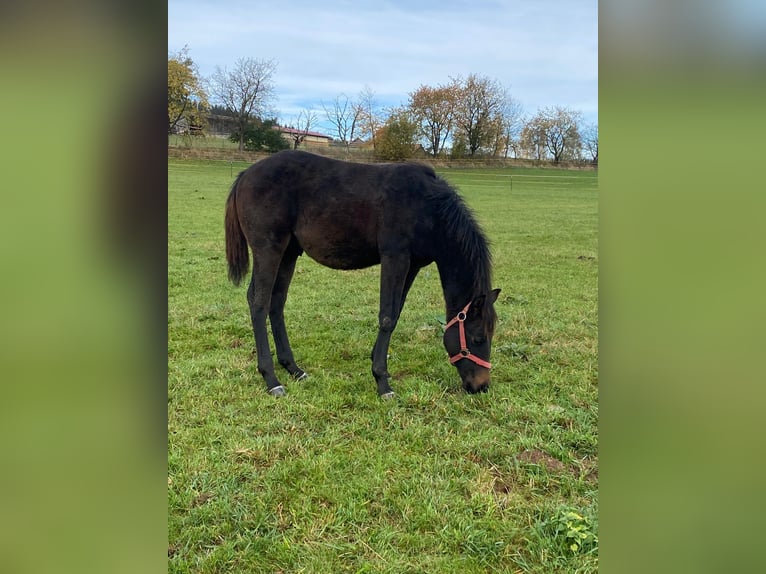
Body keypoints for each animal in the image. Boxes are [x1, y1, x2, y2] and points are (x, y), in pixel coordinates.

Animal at [225, 151, 500, 398]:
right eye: (477, 339)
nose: (481, 386)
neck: (427, 207)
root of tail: (245, 174)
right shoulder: (395, 257)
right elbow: (387, 316)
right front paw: (382, 382)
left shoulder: (413, 265)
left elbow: (395, 313)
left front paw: (377, 362)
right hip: (268, 250)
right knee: (258, 302)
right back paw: (271, 379)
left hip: (289, 253)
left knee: (277, 302)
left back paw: (293, 368)